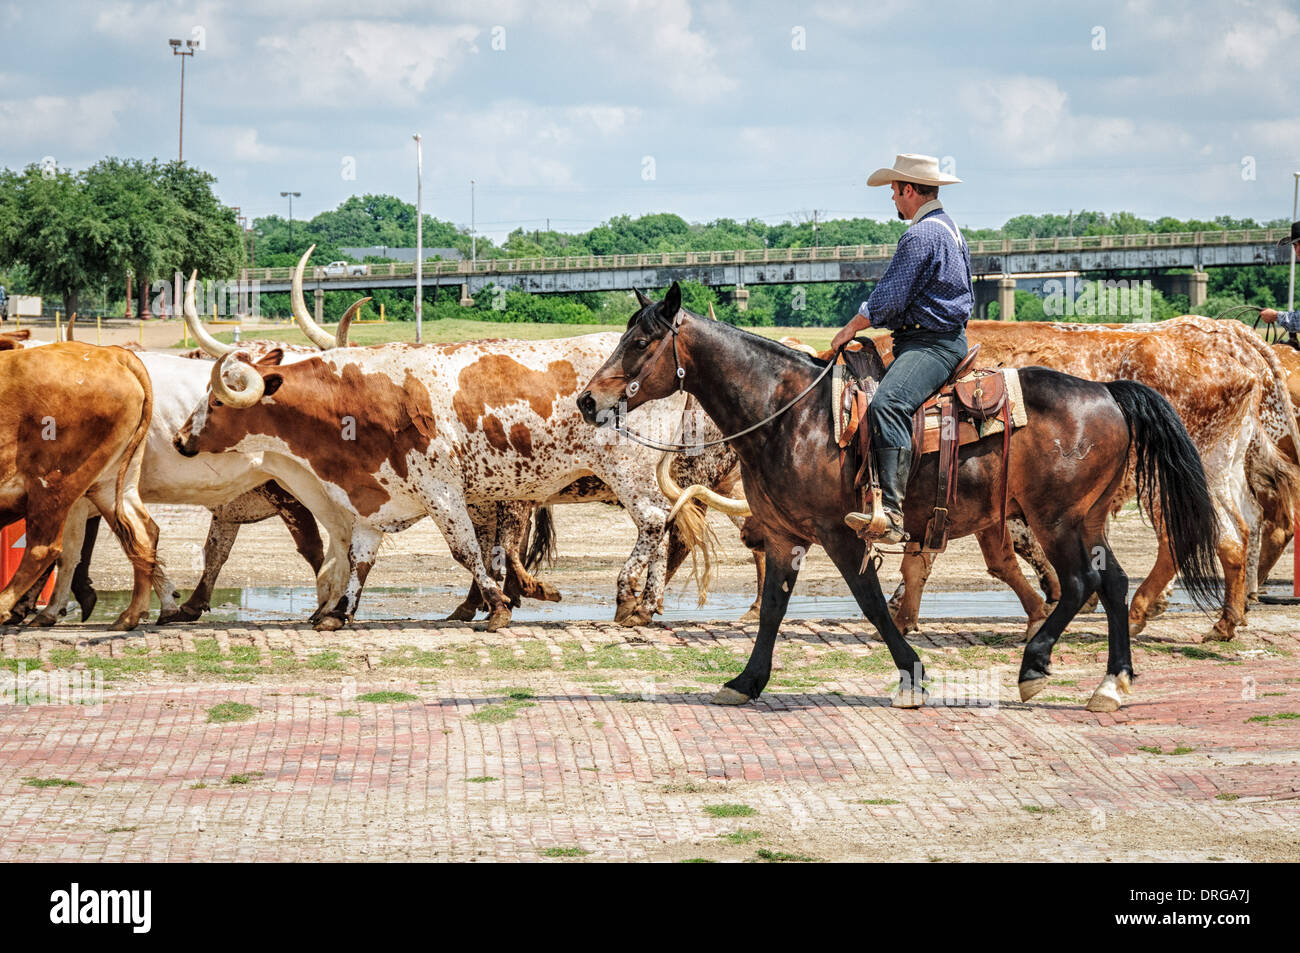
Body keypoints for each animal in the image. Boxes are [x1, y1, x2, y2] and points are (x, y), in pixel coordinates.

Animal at [574, 286, 1222, 712]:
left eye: (641, 341)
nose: (587, 400)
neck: (791, 413)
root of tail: (1108, 392)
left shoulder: (839, 532)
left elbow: (870, 602)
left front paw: (912, 675)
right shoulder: (784, 535)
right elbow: (774, 606)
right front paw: (747, 681)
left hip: (1056, 520)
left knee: (1082, 584)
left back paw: (1034, 667)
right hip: (1086, 520)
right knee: (1111, 582)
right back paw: (1112, 684)